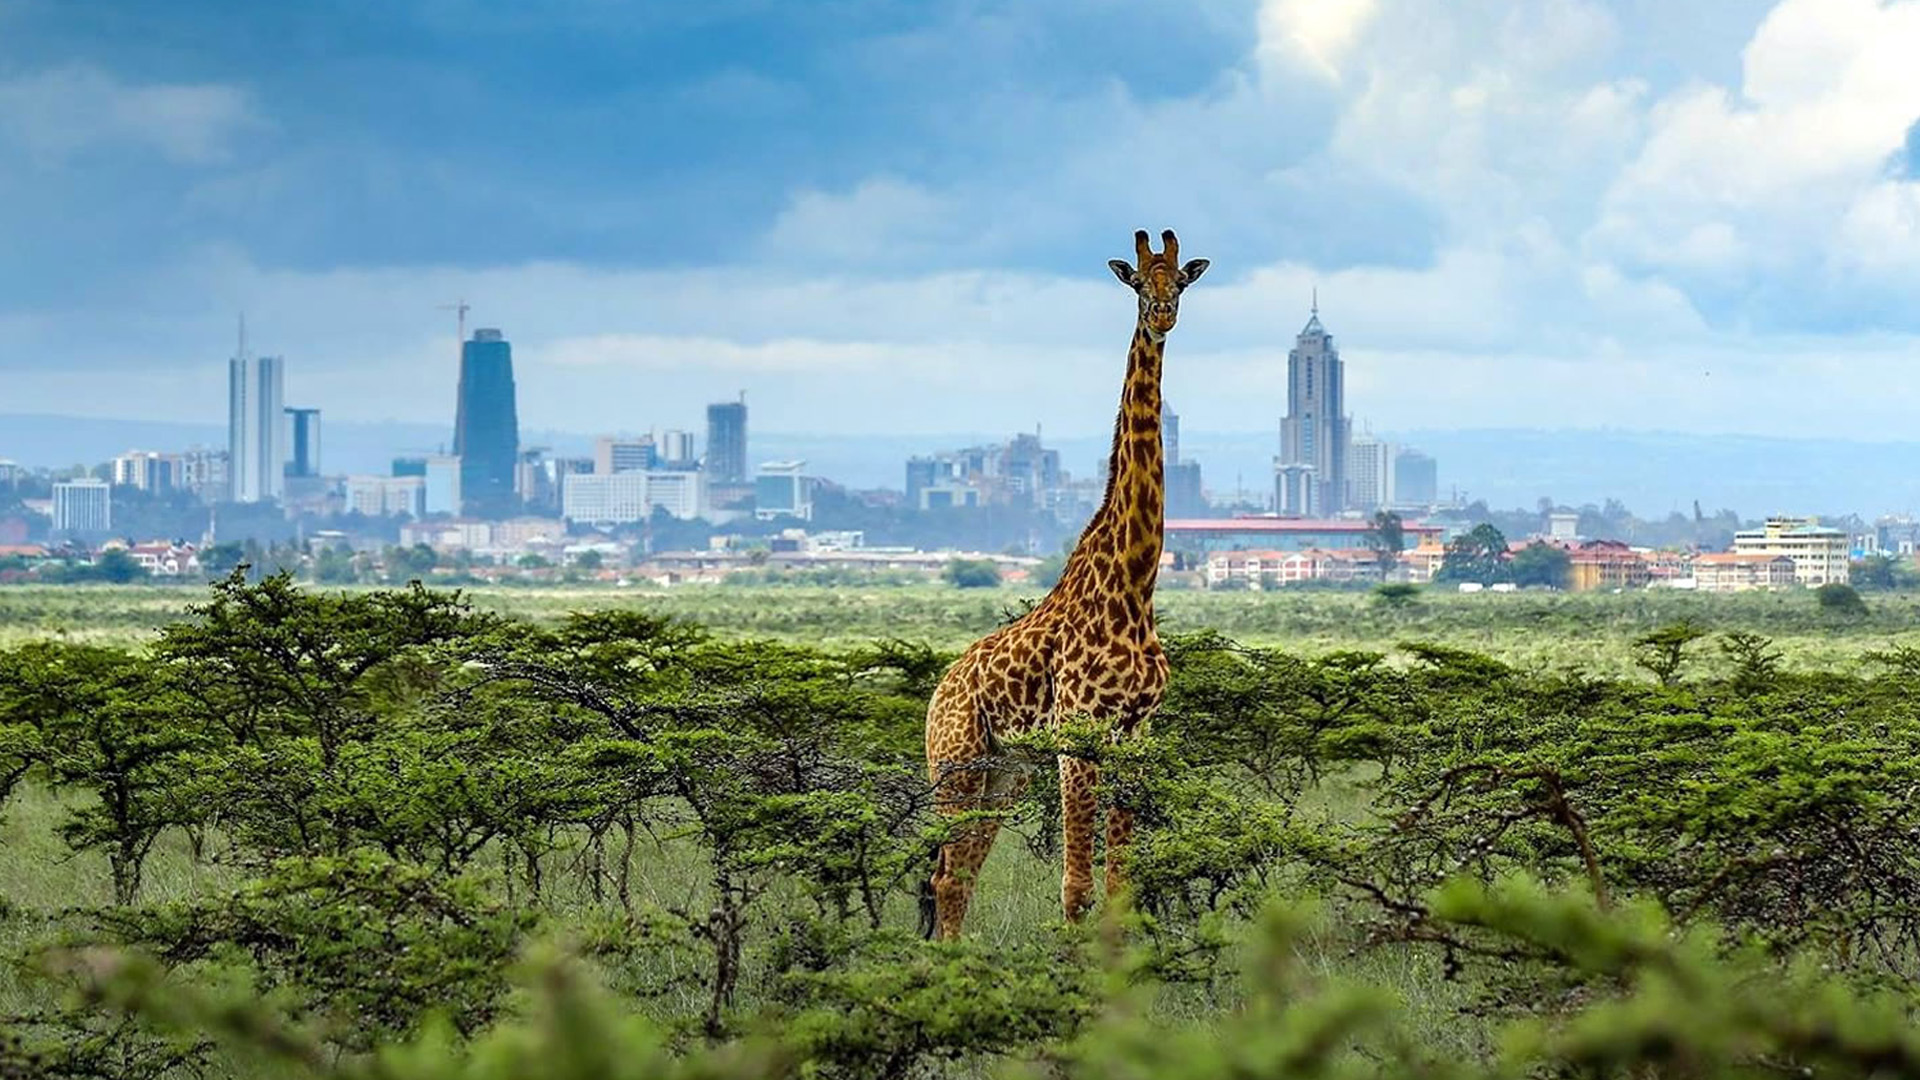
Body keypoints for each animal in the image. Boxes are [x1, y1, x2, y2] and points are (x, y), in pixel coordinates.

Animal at [921, 224, 1205, 933]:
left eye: (1180, 281)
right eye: (1139, 282)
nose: (1163, 315)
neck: (1134, 583)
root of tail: (938, 692)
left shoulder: (1135, 735)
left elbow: (1119, 886)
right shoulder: (1078, 737)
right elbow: (1075, 891)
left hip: (1004, 771)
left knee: (959, 877)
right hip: (956, 763)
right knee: (944, 876)